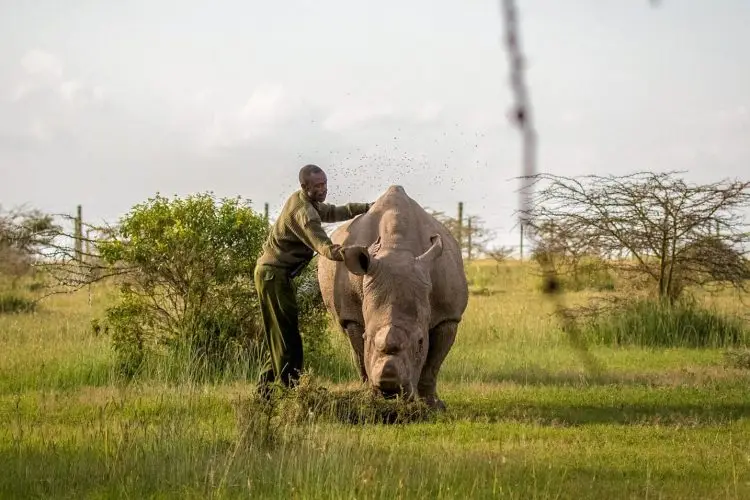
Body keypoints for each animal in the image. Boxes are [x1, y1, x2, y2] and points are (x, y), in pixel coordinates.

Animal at [318, 186, 470, 408]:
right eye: (367, 338)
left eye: (420, 342)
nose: (389, 388)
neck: (397, 249)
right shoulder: (350, 315)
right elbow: (359, 356)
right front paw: (369, 400)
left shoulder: (448, 316)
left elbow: (432, 365)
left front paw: (432, 406)